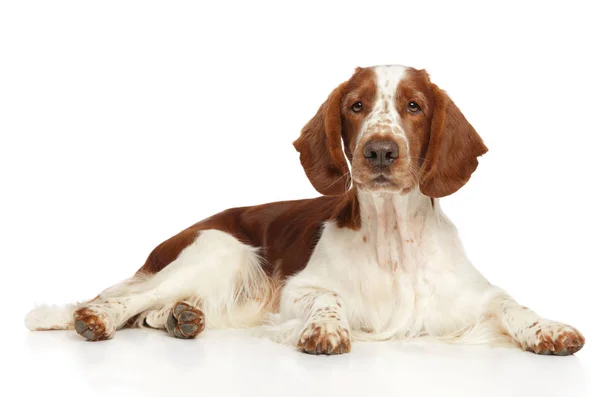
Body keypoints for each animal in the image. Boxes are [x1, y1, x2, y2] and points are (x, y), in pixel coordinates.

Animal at [25, 65, 584, 356]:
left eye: (414, 106)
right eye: (356, 105)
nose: (380, 152)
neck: (391, 242)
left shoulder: (473, 297)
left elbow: (514, 306)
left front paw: (551, 329)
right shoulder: (295, 291)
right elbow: (326, 300)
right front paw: (327, 329)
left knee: (155, 309)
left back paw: (183, 318)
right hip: (220, 250)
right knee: (121, 299)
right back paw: (96, 319)